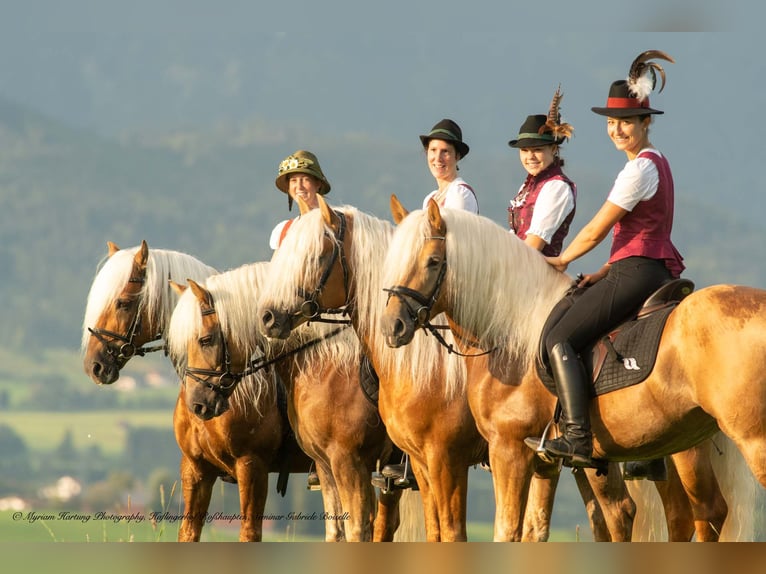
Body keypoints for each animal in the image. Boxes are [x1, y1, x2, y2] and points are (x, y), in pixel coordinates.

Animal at [82, 243, 316, 544]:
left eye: (123, 302)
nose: (94, 365)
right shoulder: (196, 469)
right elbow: (189, 532)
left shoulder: (252, 466)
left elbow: (249, 534)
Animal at [380, 204, 764, 544]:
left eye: (432, 262)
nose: (392, 326)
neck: (511, 332)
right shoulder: (535, 461)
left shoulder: (501, 449)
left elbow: (502, 531)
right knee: (702, 514)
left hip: (737, 442)